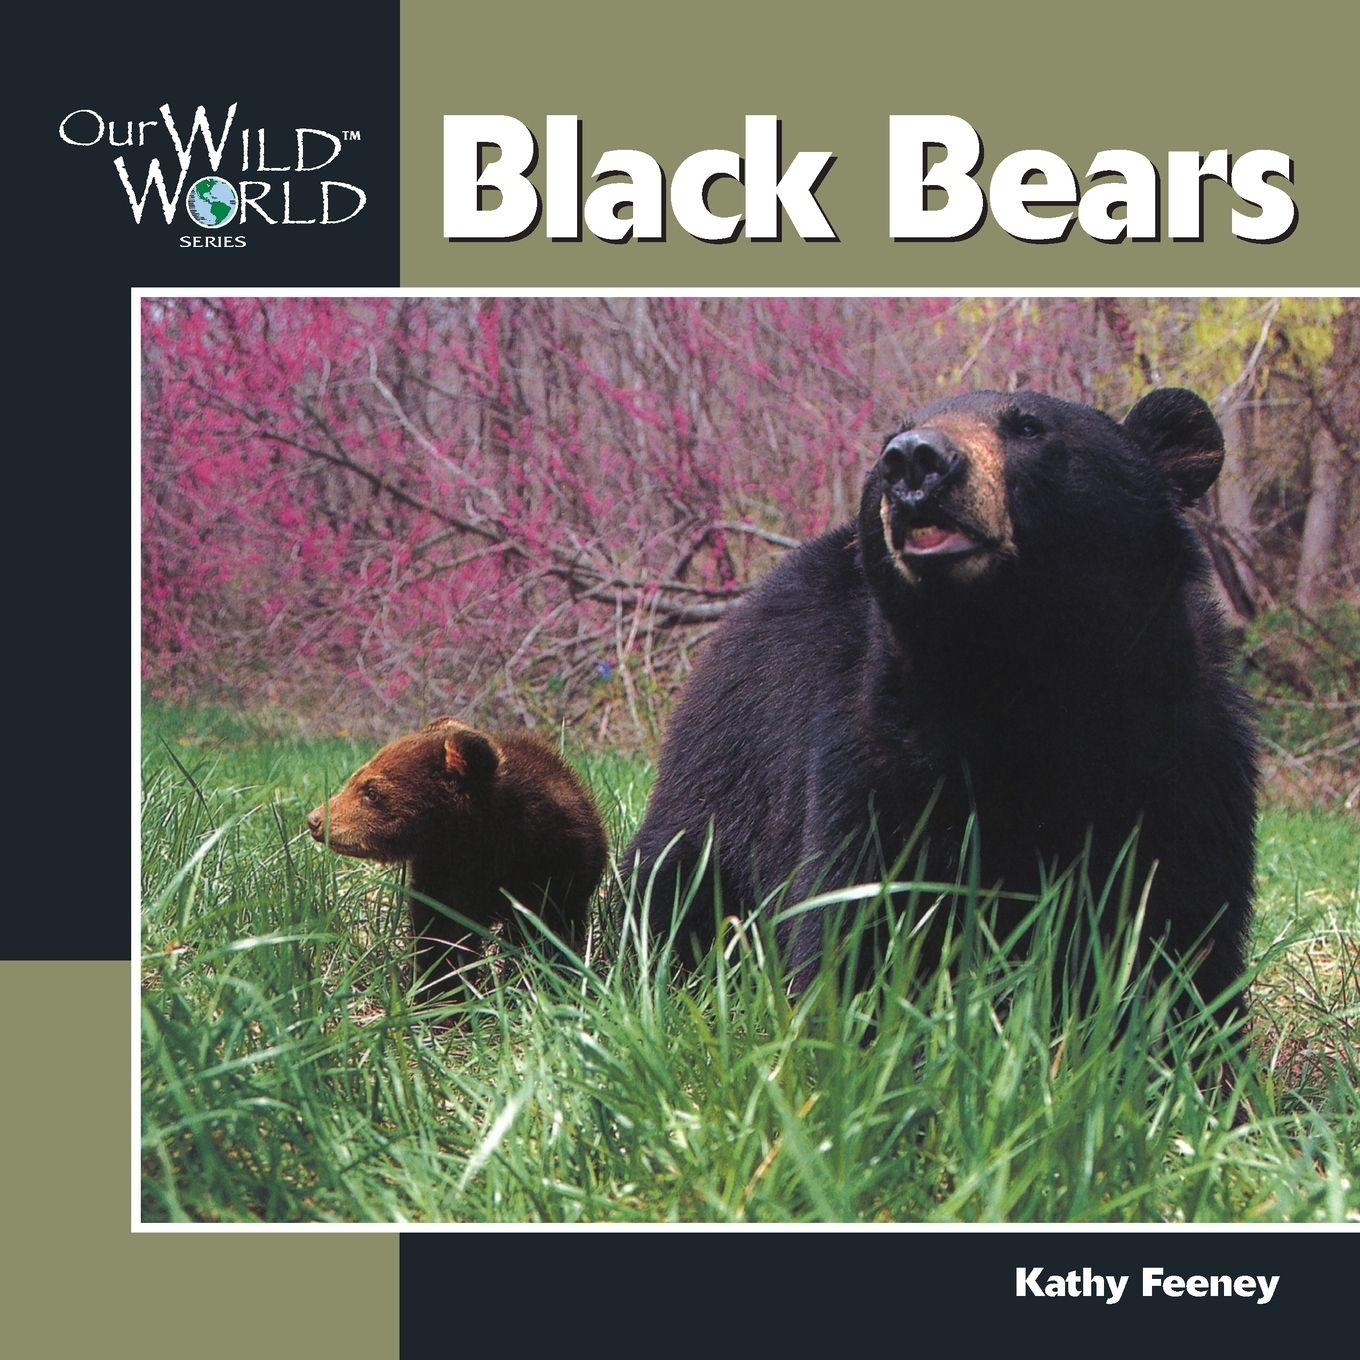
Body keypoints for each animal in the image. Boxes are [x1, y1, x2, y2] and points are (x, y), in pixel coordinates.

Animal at [308, 717, 607, 1001]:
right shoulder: (443, 873)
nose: (315, 820)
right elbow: (441, 935)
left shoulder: (558, 871)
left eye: (372, 792)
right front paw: (441, 994)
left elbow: (550, 933)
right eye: (356, 778)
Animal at [628, 387, 1257, 1020]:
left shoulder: (1183, 755)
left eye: (1028, 426)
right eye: (889, 440)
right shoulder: (878, 752)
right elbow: (861, 906)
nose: (912, 459)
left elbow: (1184, 919)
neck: (1018, 671)